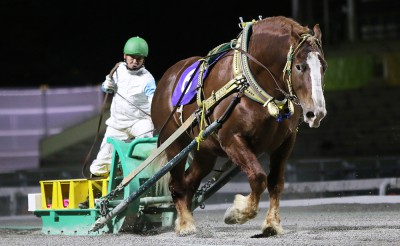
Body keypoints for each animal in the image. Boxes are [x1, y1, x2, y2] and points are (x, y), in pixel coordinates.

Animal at [152, 16, 326, 237]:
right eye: (299, 67)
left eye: (324, 67)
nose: (316, 113)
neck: (250, 83)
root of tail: (167, 78)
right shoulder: (231, 139)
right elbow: (258, 178)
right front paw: (237, 213)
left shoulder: (285, 142)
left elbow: (276, 182)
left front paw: (272, 224)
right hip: (174, 143)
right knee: (176, 184)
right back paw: (185, 225)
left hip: (205, 151)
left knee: (189, 181)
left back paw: (186, 219)